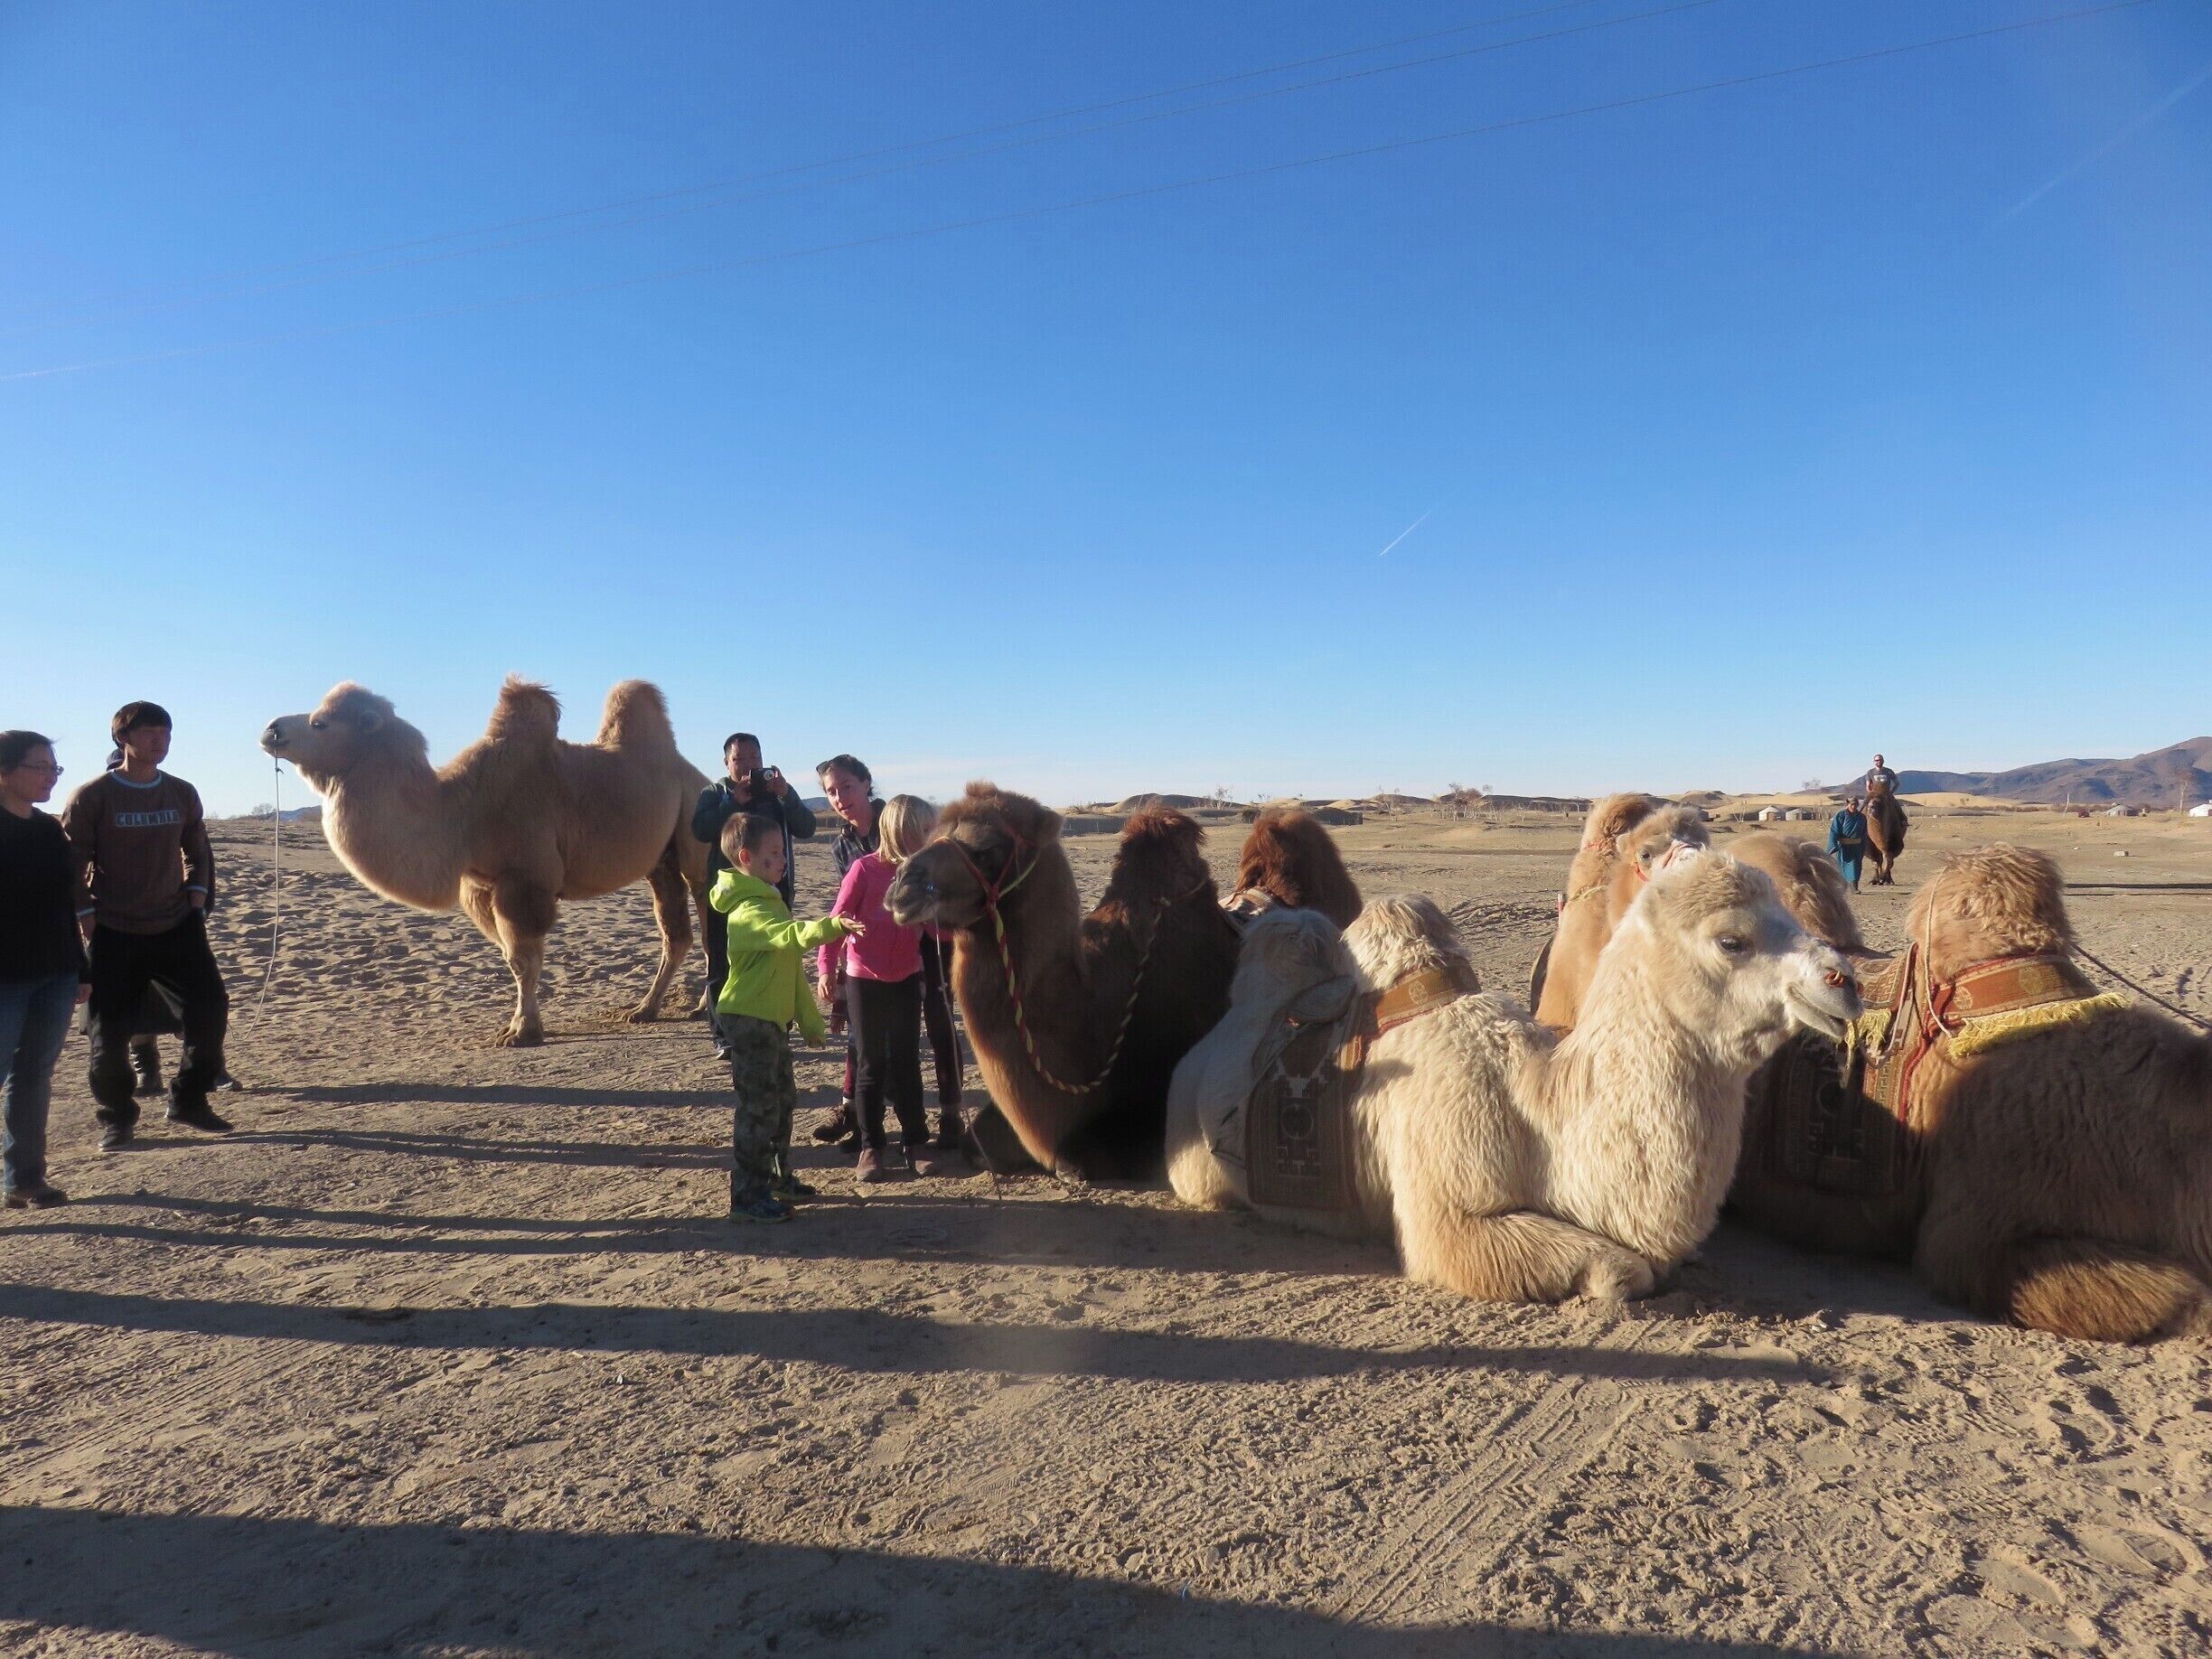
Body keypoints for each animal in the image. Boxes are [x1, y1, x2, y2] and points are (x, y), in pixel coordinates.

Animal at [262, 678, 710, 1046]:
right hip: (660, 861)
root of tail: (696, 774)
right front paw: (518, 1025)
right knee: (676, 933)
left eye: (320, 723)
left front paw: (523, 1032)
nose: (271, 730)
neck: (463, 811)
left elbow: (522, 960)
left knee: (708, 923)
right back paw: (644, 1010)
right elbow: (514, 960)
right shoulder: (481, 886)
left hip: (697, 835)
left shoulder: (525, 881)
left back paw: (703, 1007)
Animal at [1167, 858, 1861, 1303]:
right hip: (1196, 1168)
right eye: (1731, 940)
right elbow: (1621, 1272)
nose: (1843, 981)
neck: (1537, 1110)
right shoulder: (1449, 1216)